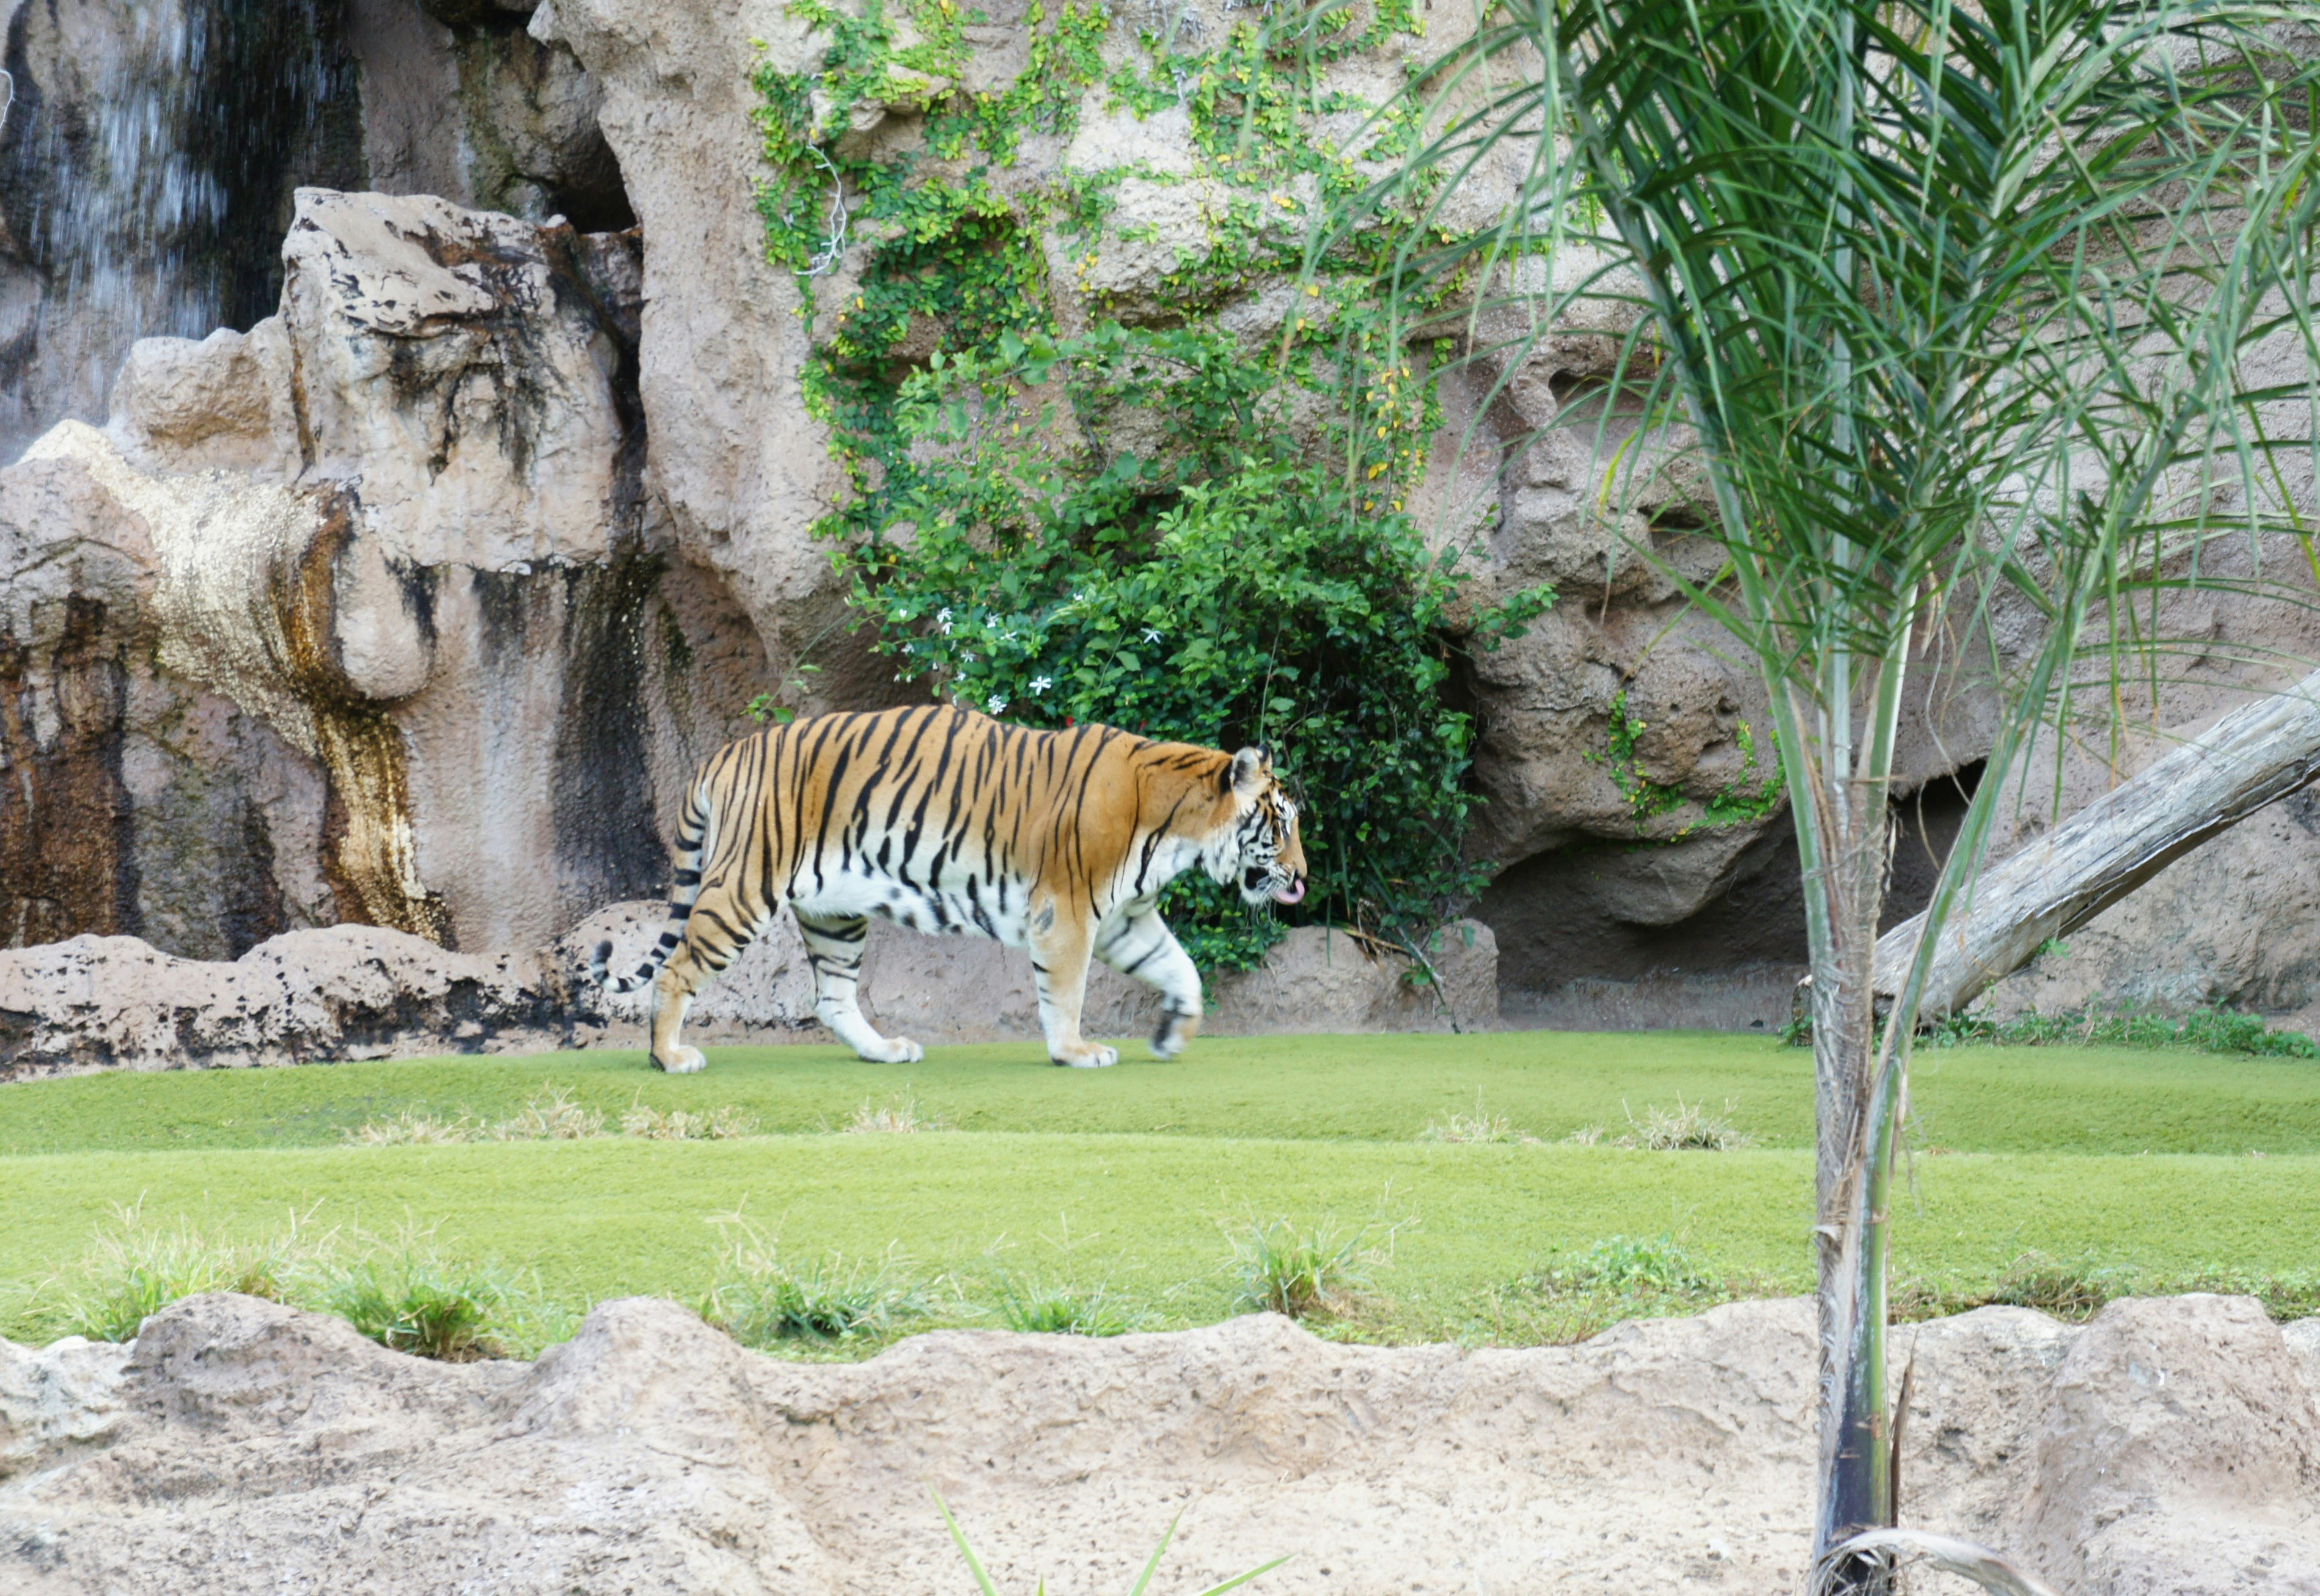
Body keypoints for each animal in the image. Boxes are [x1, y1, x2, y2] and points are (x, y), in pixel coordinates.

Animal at [591, 704, 1307, 1072]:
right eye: (1281, 823)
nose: (1302, 879)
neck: (1181, 827)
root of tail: (728, 751)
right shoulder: (1068, 908)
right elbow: (1066, 991)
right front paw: (1075, 1051)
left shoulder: (1126, 915)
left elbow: (1182, 969)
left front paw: (1172, 1035)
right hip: (745, 886)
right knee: (676, 970)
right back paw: (669, 1056)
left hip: (833, 912)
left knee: (832, 998)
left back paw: (886, 1051)